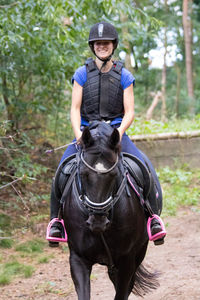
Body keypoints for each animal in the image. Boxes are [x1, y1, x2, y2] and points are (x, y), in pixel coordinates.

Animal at [61, 122, 159, 300]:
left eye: (113, 175)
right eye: (83, 174)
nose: (97, 222)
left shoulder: (127, 260)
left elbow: (121, 293)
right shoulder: (78, 258)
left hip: (139, 252)